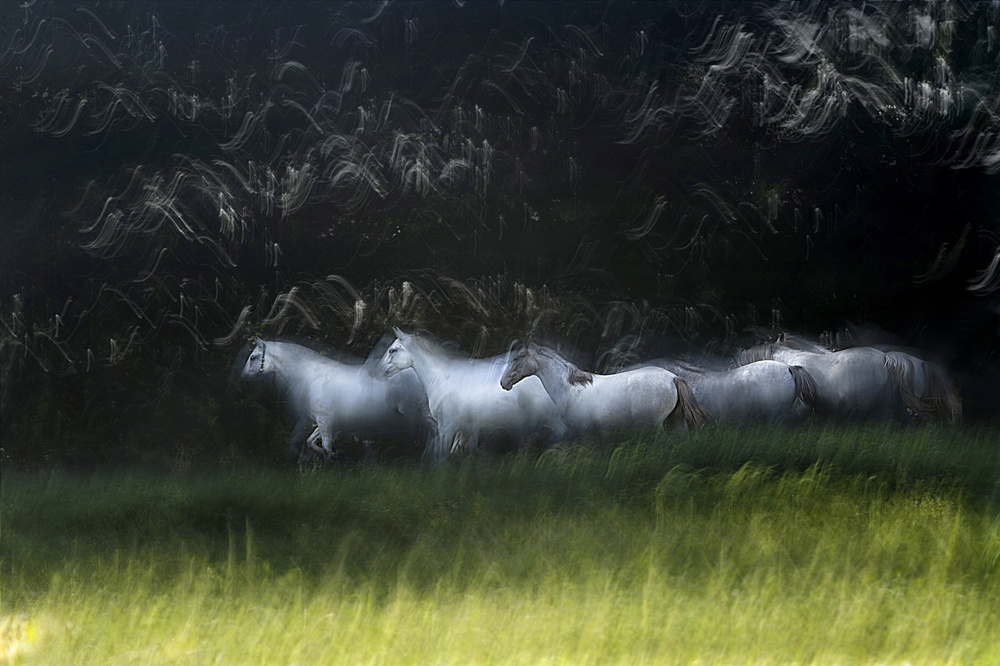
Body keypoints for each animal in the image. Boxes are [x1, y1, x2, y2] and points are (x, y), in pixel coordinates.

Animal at [244, 338, 432, 462]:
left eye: (253, 357)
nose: (243, 375)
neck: (311, 375)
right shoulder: (324, 420)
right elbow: (312, 442)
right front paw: (335, 455)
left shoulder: (324, 420)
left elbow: (326, 448)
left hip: (415, 414)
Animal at [380, 328, 572, 462]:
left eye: (392, 350)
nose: (378, 370)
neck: (443, 377)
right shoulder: (465, 428)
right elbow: (456, 453)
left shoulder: (447, 427)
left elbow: (442, 457)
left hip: (550, 419)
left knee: (560, 434)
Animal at [498, 342, 708, 440]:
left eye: (517, 358)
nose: (503, 382)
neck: (569, 389)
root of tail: (673, 378)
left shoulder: (583, 433)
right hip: (676, 421)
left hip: (655, 425)